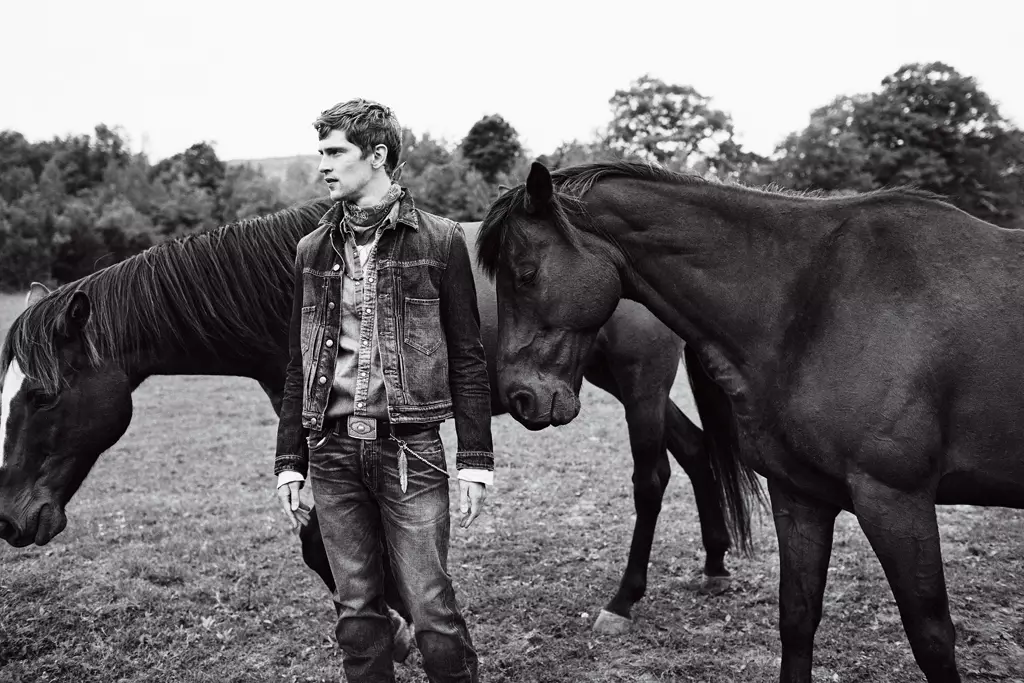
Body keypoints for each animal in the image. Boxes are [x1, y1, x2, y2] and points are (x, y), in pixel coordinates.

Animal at [0, 194, 753, 634]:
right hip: (614, 383)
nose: (11, 520)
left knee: (652, 478)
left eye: (41, 396)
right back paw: (715, 566)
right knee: (695, 452)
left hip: (639, 384)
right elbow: (323, 539)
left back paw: (624, 601)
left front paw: (397, 618)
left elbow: (326, 542)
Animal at [477, 160, 1024, 683]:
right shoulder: (801, 495)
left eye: (524, 273)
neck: (811, 300)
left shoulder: (895, 500)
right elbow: (797, 619)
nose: (520, 396)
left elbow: (931, 639)